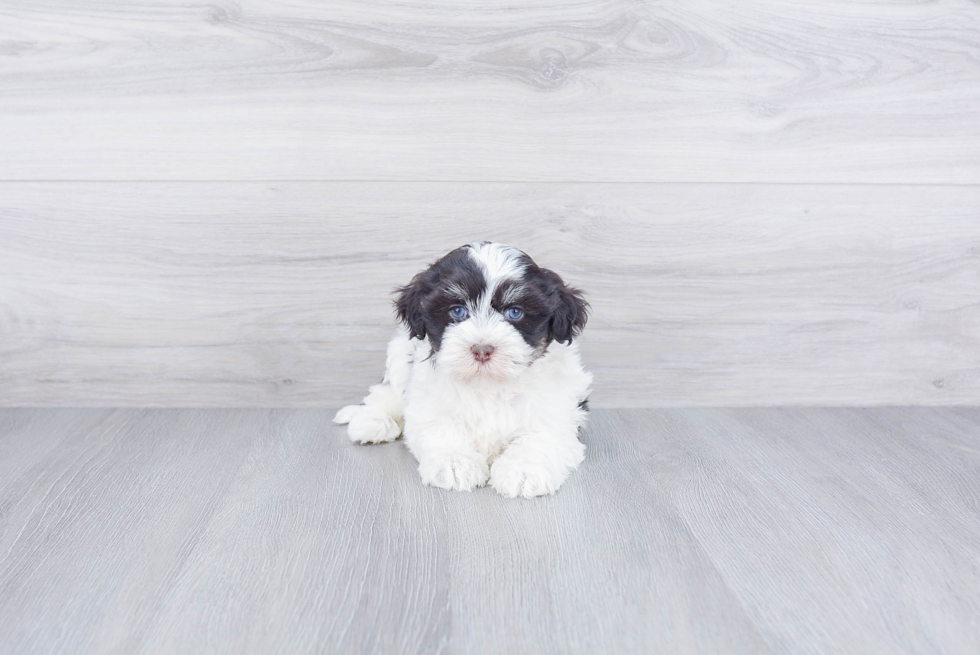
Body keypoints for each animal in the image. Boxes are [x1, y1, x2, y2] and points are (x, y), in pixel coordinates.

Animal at [334, 243, 588, 500]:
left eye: (515, 312)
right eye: (457, 311)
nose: (482, 349)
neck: (487, 383)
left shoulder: (557, 410)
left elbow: (539, 439)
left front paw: (523, 470)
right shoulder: (429, 402)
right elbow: (442, 429)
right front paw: (454, 463)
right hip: (400, 352)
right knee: (386, 392)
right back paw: (373, 420)